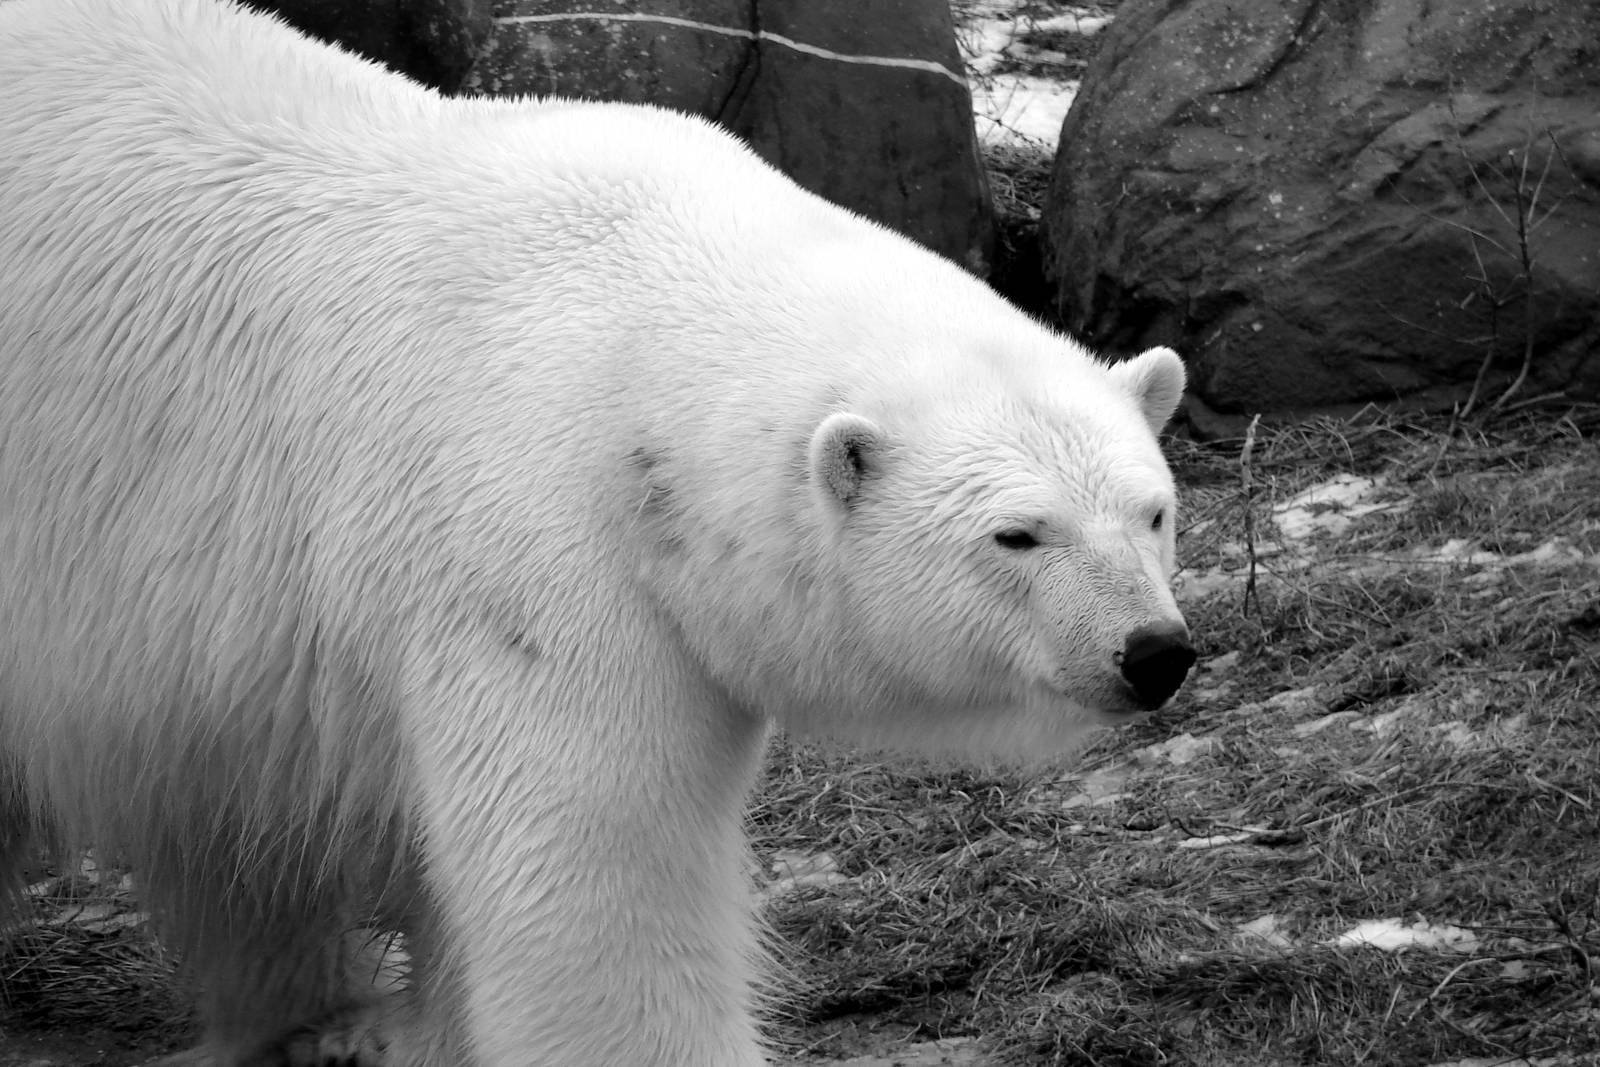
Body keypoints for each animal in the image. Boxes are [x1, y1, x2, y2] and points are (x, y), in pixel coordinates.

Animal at [0, 0, 1195, 1063]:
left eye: (1153, 511)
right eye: (1017, 535)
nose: (1153, 651)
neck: (636, 323)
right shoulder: (528, 536)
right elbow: (592, 869)